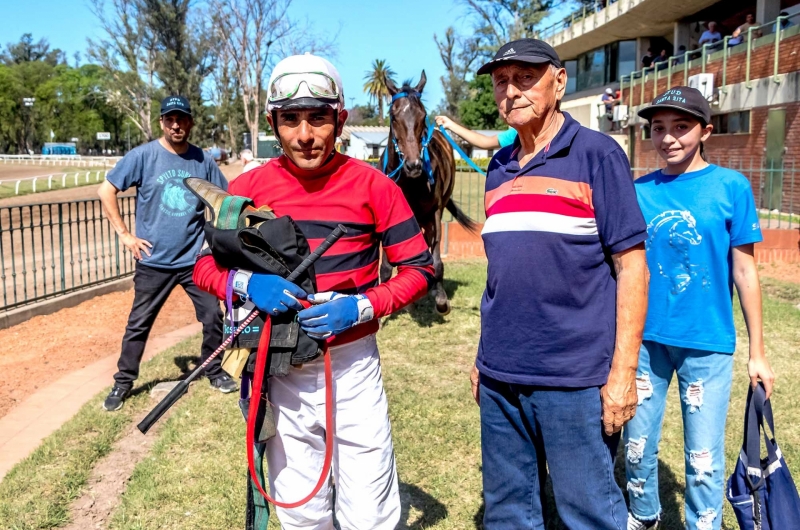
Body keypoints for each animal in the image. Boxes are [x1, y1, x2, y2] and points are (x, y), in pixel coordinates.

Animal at [380, 72, 476, 316]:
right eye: (393, 116)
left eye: (423, 116)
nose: (413, 165)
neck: (409, 182)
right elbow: (386, 265)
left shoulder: (435, 212)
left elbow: (436, 257)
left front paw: (440, 299)